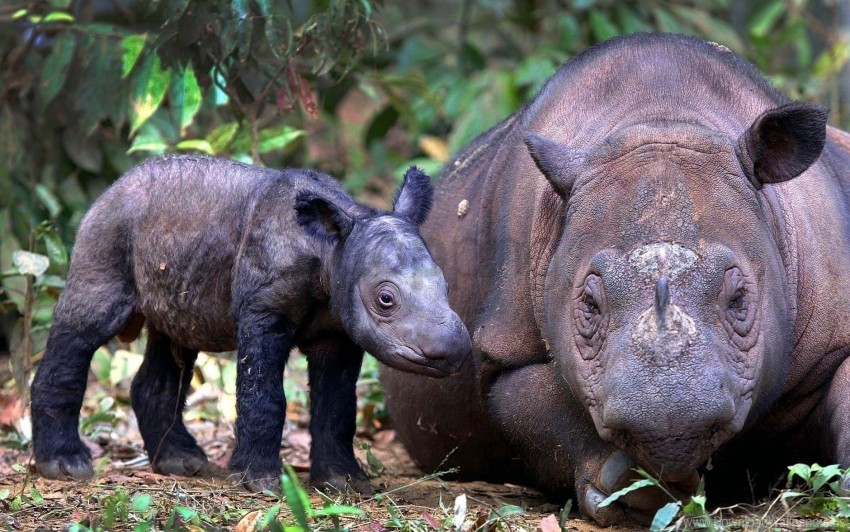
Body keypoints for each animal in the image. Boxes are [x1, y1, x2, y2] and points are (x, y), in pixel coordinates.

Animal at [31, 155, 470, 494]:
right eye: (385, 299)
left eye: (447, 285)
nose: (454, 350)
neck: (331, 250)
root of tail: (112, 187)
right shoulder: (263, 311)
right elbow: (264, 395)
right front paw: (258, 483)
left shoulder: (339, 330)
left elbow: (339, 405)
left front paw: (344, 484)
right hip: (108, 230)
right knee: (86, 325)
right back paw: (66, 466)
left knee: (173, 341)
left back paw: (181, 463)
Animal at [380, 33, 848, 524]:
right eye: (589, 306)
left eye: (739, 299)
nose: (669, 424)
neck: (662, 116)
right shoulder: (505, 349)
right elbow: (535, 404)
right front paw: (634, 490)